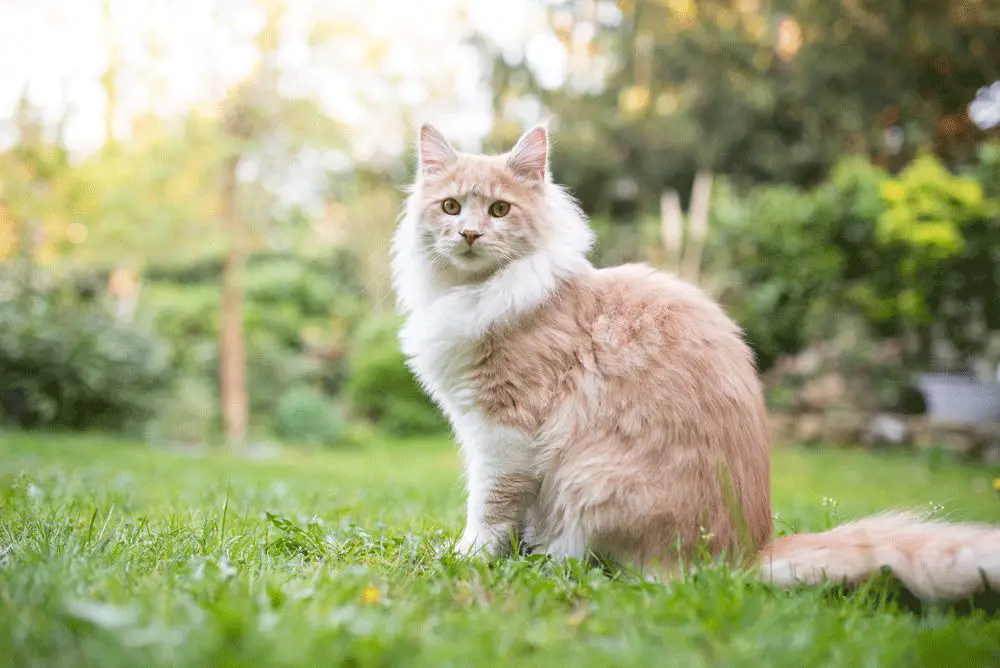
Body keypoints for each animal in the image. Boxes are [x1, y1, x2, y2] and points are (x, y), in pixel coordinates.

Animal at [390, 122, 1000, 604]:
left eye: (499, 209)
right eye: (450, 207)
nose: (470, 234)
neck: (477, 293)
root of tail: (750, 551)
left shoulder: (504, 430)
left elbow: (489, 507)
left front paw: (469, 556)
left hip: (593, 483)